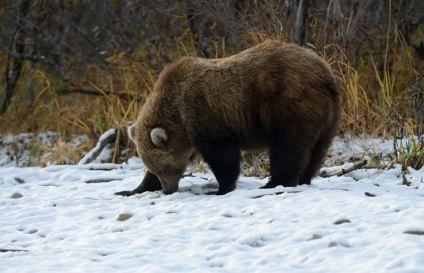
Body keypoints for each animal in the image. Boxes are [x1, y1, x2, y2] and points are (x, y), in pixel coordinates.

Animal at [114, 39, 340, 196]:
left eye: (164, 168)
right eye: (156, 169)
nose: (168, 189)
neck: (178, 116)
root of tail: (324, 74)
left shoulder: (203, 111)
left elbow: (221, 152)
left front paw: (222, 188)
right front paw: (131, 189)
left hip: (289, 103)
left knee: (287, 145)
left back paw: (274, 182)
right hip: (328, 117)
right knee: (316, 150)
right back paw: (304, 178)